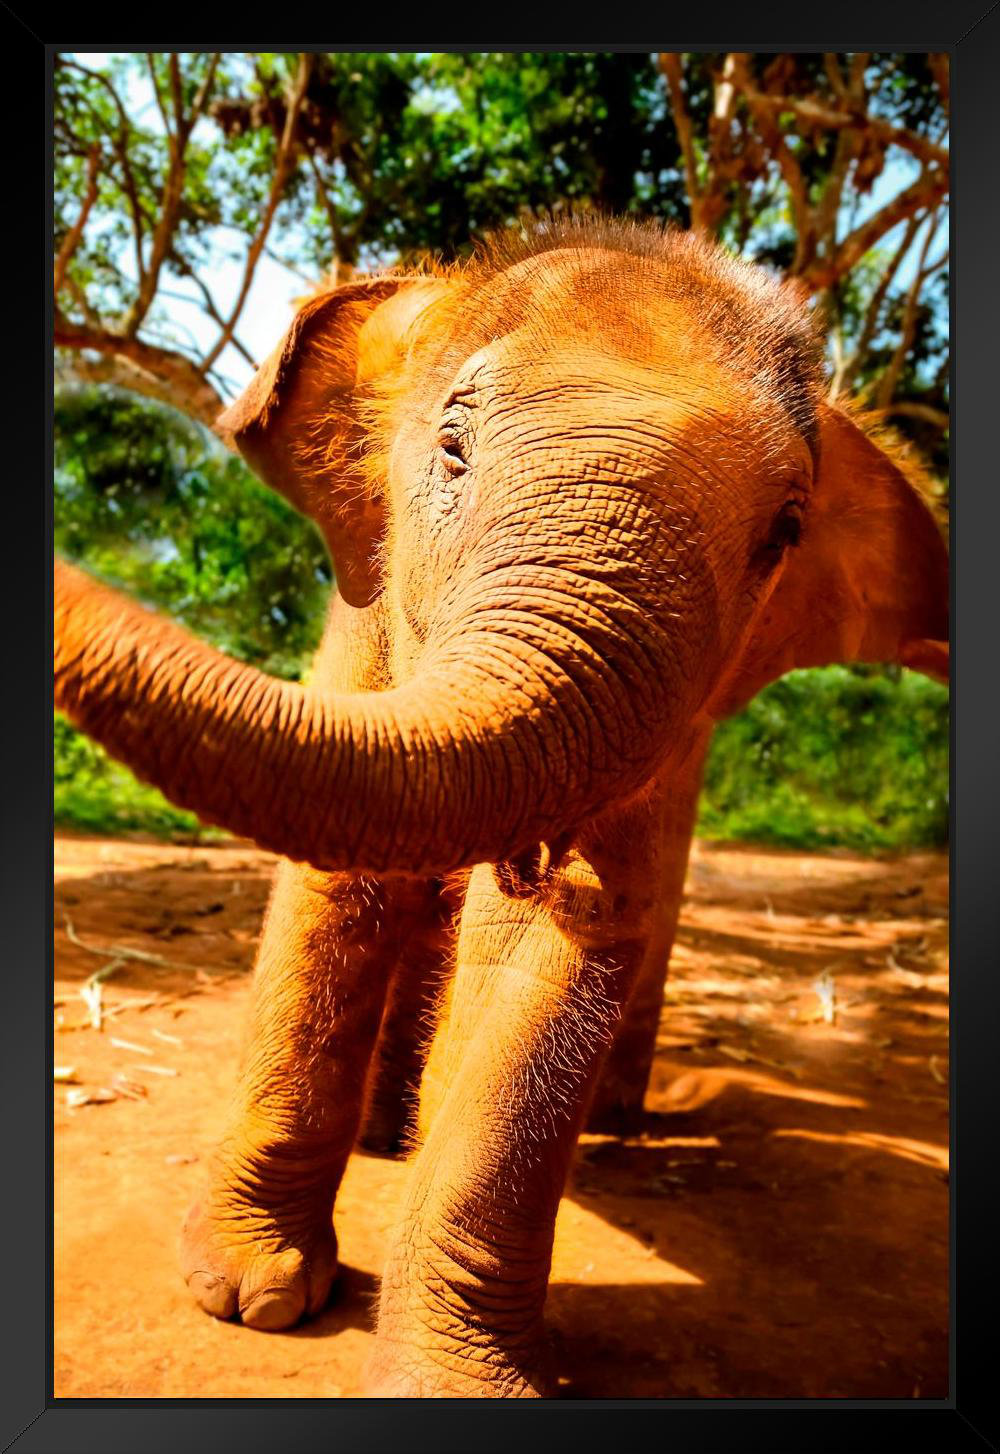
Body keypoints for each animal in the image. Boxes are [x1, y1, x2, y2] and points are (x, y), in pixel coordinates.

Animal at [54, 215, 948, 1398]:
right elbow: (337, 888)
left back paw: (604, 1129)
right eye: (452, 446)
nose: (549, 856)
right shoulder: (366, 616)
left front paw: (453, 1380)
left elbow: (546, 958)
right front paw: (253, 1298)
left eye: (785, 530)